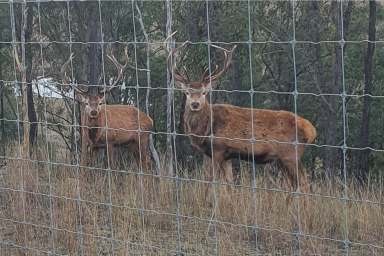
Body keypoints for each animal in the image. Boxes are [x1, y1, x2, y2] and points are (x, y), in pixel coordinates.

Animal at [169, 41, 318, 195]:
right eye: (187, 93)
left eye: (204, 93)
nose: (195, 104)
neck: (207, 129)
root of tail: (311, 130)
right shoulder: (227, 155)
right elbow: (229, 183)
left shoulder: (218, 148)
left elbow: (211, 182)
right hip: (283, 158)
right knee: (295, 184)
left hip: (291, 154)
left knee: (304, 184)